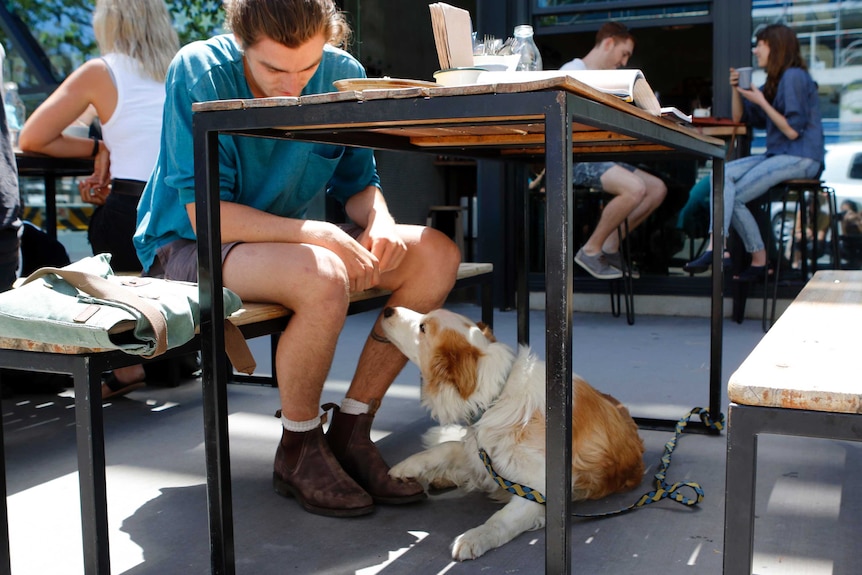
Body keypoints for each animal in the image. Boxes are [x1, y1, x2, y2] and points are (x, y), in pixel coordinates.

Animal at [382, 308, 644, 560]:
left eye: (423, 327)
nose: (387, 310)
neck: (495, 398)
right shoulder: (481, 451)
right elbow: (446, 448)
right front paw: (405, 467)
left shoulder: (539, 489)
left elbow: (500, 519)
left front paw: (473, 537)